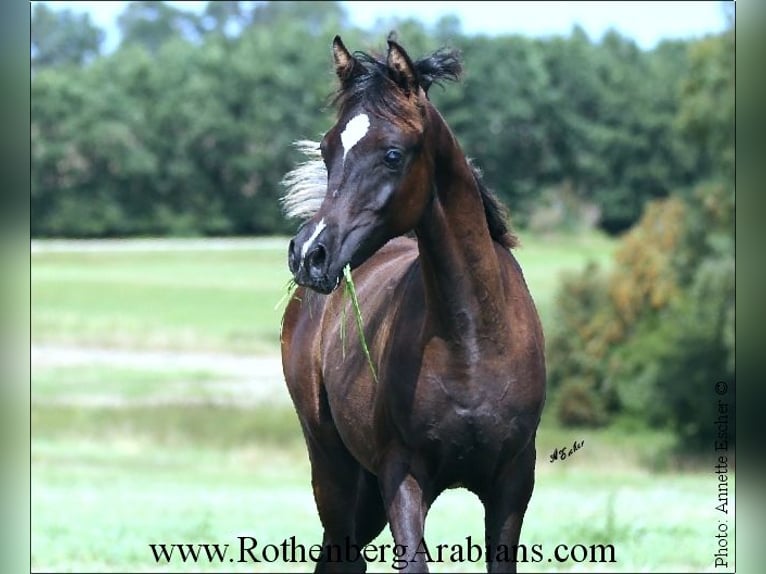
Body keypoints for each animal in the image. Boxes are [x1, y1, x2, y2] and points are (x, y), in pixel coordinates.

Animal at [280, 35, 544, 572]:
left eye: (393, 154)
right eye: (327, 148)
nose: (310, 255)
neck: (472, 340)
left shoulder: (513, 479)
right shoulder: (402, 474)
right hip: (333, 467)